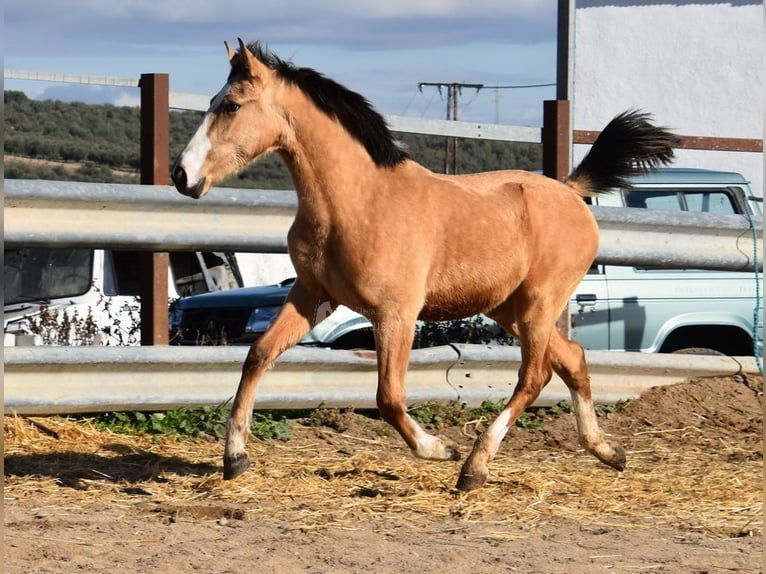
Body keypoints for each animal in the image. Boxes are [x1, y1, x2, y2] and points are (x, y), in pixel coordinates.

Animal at [172, 40, 680, 492]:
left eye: (231, 105)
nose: (181, 175)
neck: (355, 203)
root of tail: (572, 192)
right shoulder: (312, 297)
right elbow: (257, 356)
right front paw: (235, 459)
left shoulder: (396, 314)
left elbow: (389, 397)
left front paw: (440, 449)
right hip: (509, 308)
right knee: (572, 359)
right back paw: (608, 451)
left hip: (539, 302)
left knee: (534, 377)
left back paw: (474, 468)